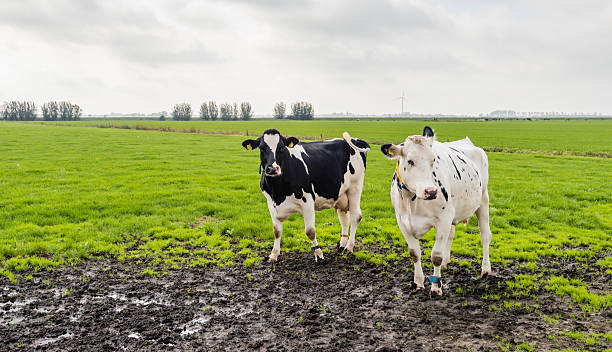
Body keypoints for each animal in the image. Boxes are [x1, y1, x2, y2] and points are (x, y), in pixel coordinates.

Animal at [243, 129, 368, 262]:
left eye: (281, 148)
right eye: (262, 148)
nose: (272, 169)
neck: (277, 192)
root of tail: (355, 139)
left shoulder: (307, 200)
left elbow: (310, 231)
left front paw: (319, 253)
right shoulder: (271, 204)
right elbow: (276, 231)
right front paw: (273, 255)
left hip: (355, 188)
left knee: (356, 217)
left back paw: (349, 247)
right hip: (341, 194)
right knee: (344, 219)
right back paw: (342, 245)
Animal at [382, 126, 492, 294]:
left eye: (433, 160)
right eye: (410, 161)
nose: (432, 191)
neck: (412, 202)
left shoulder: (443, 218)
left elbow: (436, 256)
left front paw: (436, 287)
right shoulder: (402, 220)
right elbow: (414, 253)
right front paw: (418, 282)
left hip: (483, 201)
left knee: (485, 236)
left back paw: (486, 269)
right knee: (451, 235)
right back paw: (446, 263)